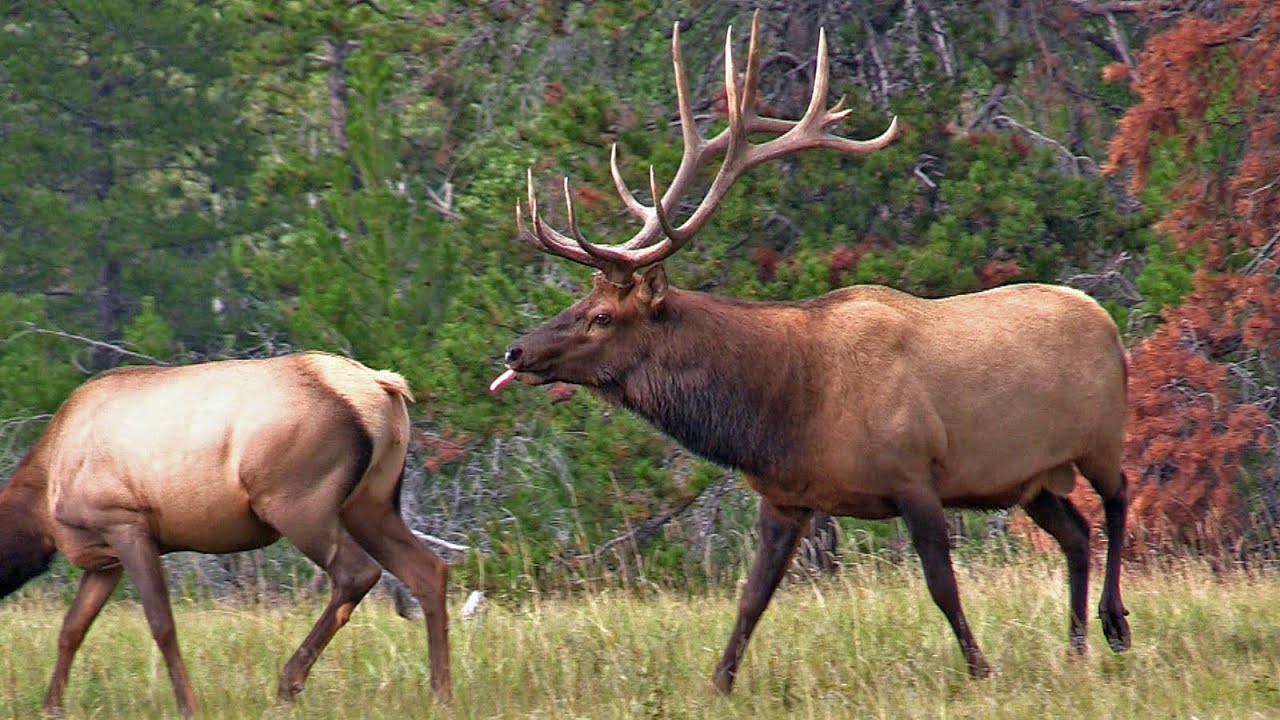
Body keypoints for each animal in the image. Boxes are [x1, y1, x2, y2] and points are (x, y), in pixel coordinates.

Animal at [0, 352, 451, 717]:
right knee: (429, 569)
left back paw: (287, 684)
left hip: (298, 502)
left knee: (357, 573)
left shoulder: (125, 522)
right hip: (371, 503)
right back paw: (440, 695)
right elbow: (71, 629)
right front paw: (50, 707)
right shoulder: (103, 559)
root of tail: (383, 387)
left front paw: (189, 706)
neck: (44, 504)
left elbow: (161, 623)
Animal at [491, 13, 1131, 693]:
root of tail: (1110, 325)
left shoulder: (913, 475)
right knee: (1077, 535)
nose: (517, 351)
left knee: (1118, 500)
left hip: (1100, 437)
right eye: (582, 301)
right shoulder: (785, 499)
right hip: (1030, 479)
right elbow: (751, 599)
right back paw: (1076, 650)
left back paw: (1114, 625)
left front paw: (981, 670)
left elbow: (942, 587)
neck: (786, 410)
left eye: (602, 316)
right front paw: (718, 685)